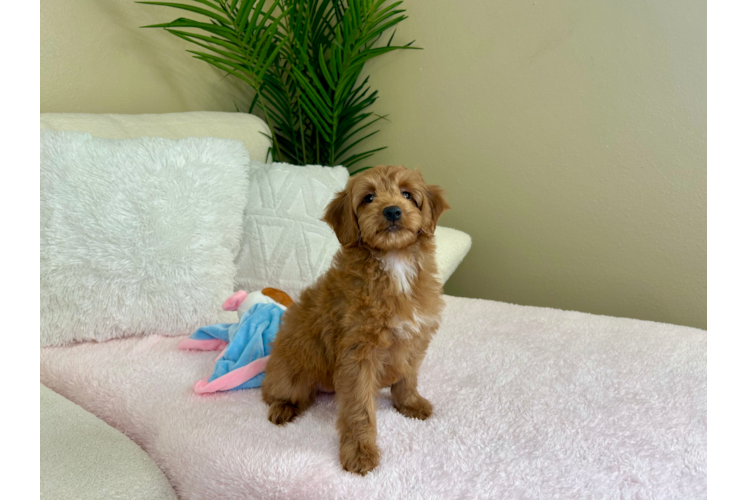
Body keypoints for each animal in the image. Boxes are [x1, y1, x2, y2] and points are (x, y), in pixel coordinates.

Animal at [262, 166, 450, 474]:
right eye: (368, 198)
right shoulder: (358, 355)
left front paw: (409, 404)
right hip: (291, 373)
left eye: (407, 194)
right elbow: (360, 409)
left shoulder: (414, 338)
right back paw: (283, 408)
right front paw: (360, 452)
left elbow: (408, 377)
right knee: (273, 391)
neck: (394, 262)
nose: (392, 211)